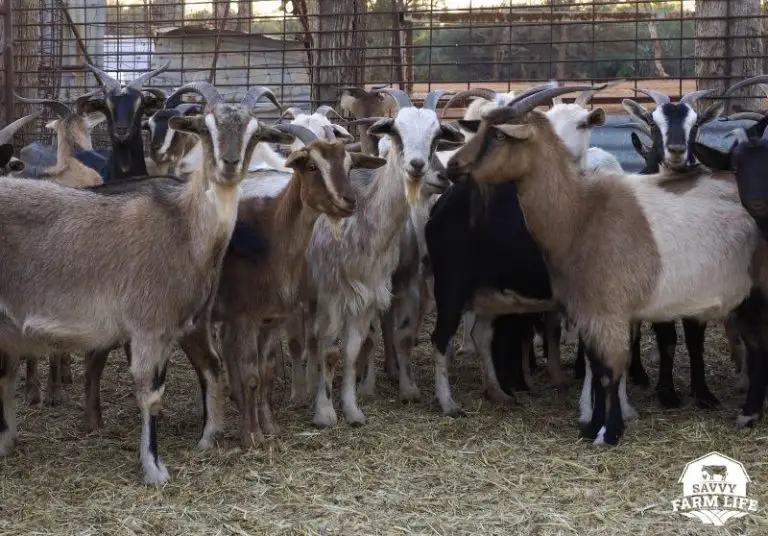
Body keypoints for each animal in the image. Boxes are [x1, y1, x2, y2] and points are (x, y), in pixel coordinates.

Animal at [0, 81, 296, 484]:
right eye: (206, 128)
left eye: (255, 132)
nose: (230, 164)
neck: (182, 227)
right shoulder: (146, 325)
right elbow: (150, 394)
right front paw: (154, 468)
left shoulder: (169, 330)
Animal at [444, 84, 767, 446]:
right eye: (481, 126)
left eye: (498, 135)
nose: (453, 165)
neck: (580, 214)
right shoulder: (588, 311)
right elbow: (597, 369)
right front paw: (591, 427)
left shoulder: (609, 312)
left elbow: (611, 371)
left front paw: (610, 432)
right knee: (758, 346)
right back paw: (750, 412)